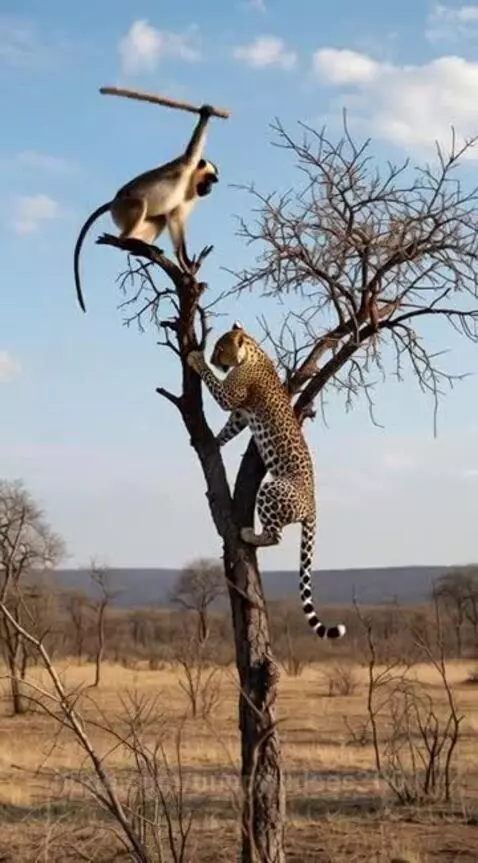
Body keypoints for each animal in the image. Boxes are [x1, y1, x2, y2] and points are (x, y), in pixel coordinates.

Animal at [73, 105, 219, 312]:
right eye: (210, 180)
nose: (209, 189)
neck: (189, 181)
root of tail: (114, 201)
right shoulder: (187, 163)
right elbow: (194, 147)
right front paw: (205, 113)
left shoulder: (189, 198)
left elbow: (175, 219)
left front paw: (185, 263)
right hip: (122, 208)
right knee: (139, 205)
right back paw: (128, 241)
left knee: (160, 217)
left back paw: (141, 246)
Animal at [187, 322, 346, 640]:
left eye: (219, 348)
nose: (212, 358)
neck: (252, 351)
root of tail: (313, 506)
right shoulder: (239, 412)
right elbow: (230, 428)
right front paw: (215, 441)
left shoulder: (230, 395)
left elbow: (214, 384)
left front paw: (195, 359)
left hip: (272, 488)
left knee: (276, 536)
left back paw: (250, 534)